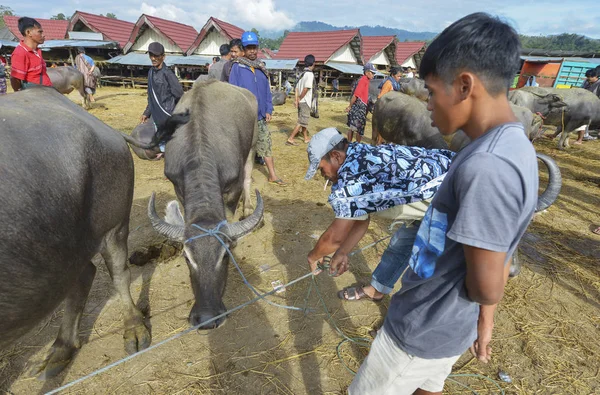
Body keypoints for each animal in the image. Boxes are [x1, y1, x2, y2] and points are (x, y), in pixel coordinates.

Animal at [0, 87, 150, 380]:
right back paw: (60, 351)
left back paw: (135, 331)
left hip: (114, 224)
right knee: (83, 274)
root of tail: (109, 131)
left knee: (118, 273)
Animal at [123, 79, 260, 330]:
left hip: (253, 142)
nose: (206, 318)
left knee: (248, 174)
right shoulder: (178, 185)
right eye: (188, 258)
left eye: (224, 256)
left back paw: (247, 208)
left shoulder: (232, 187)